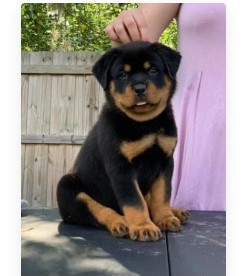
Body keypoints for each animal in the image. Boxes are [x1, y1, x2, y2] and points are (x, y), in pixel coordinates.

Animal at [57, 41, 190, 242]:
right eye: (122, 75)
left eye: (153, 70)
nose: (140, 88)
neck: (145, 124)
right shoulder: (120, 166)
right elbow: (134, 200)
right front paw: (143, 227)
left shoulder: (165, 161)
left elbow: (161, 195)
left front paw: (165, 218)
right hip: (66, 188)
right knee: (97, 209)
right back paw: (120, 223)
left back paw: (175, 212)